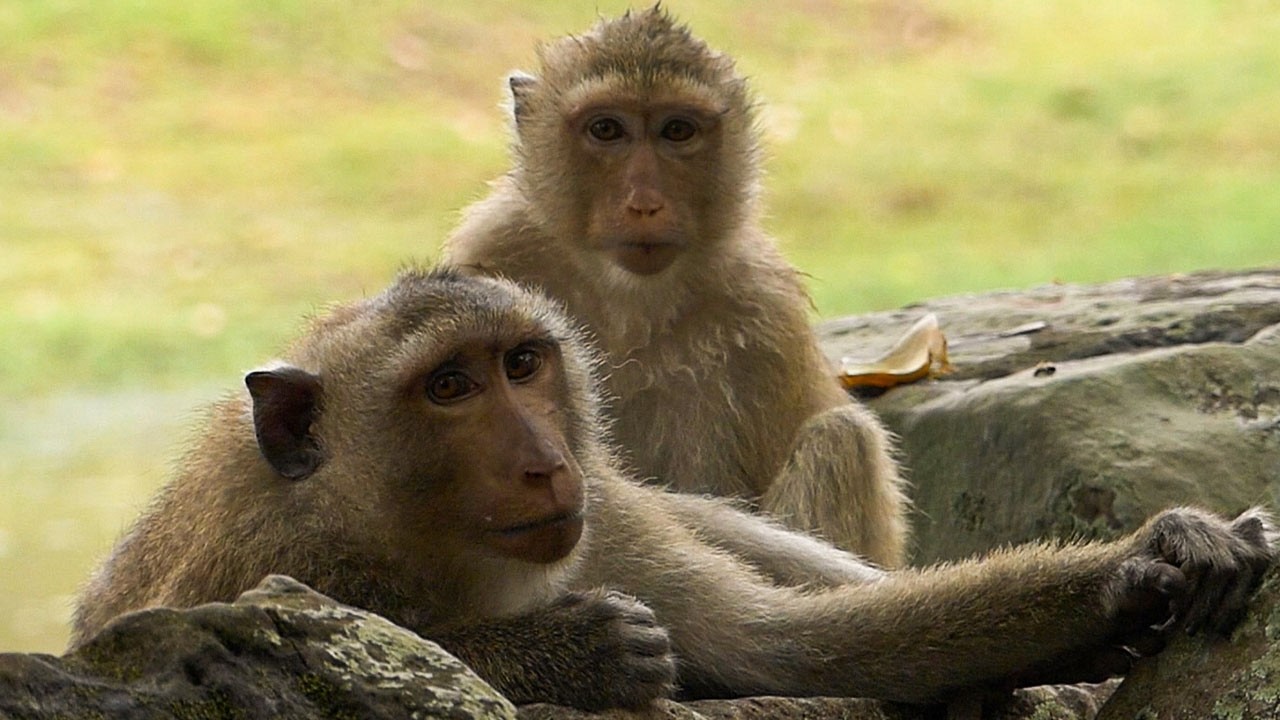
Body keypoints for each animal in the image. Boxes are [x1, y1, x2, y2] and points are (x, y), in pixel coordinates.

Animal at [71, 267, 1275, 712]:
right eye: (447, 388)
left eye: (522, 365)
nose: (542, 459)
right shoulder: (274, 561)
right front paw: (576, 652)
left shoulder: (604, 529)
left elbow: (805, 651)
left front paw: (1141, 566)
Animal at [444, 7, 910, 567]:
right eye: (606, 129)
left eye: (677, 131)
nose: (645, 203)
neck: (625, 302)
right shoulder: (492, 250)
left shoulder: (763, 308)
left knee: (843, 439)